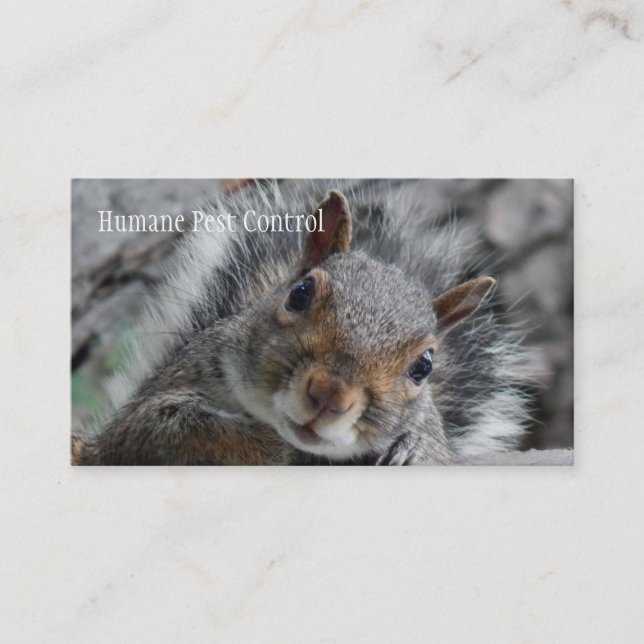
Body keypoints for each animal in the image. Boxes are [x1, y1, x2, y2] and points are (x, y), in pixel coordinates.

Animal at [72, 181, 533, 465]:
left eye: (424, 367)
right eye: (299, 293)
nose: (329, 394)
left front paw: (414, 448)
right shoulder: (143, 420)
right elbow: (172, 425)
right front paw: (274, 446)